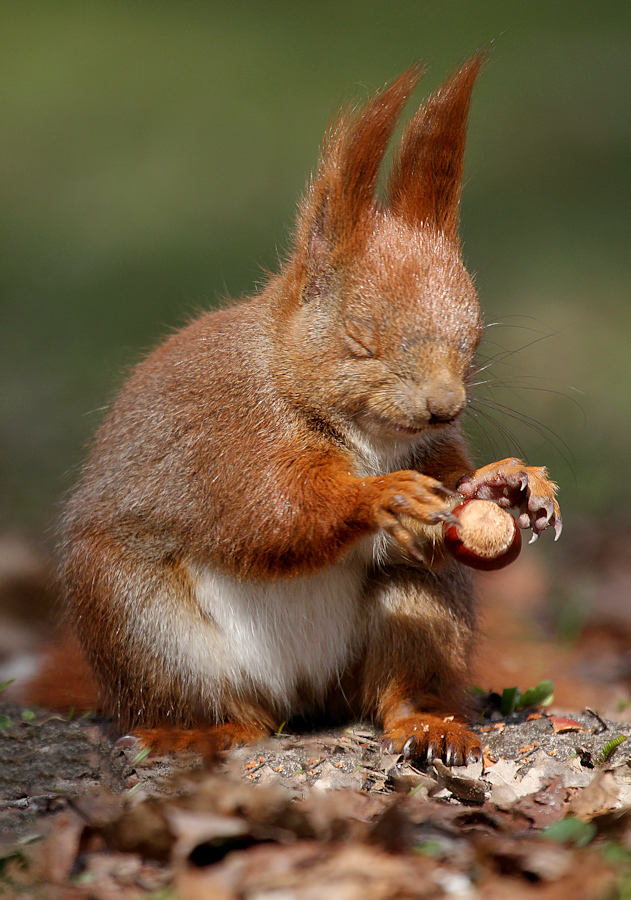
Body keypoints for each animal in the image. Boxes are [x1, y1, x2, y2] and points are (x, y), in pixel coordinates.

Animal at [43, 56, 564, 764]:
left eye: (475, 338)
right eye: (360, 338)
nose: (445, 407)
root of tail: (304, 697)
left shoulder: (432, 450)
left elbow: (452, 486)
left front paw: (511, 483)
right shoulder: (231, 435)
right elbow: (272, 514)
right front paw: (381, 497)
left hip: (419, 611)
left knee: (400, 682)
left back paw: (430, 723)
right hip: (140, 622)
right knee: (218, 707)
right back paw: (195, 731)